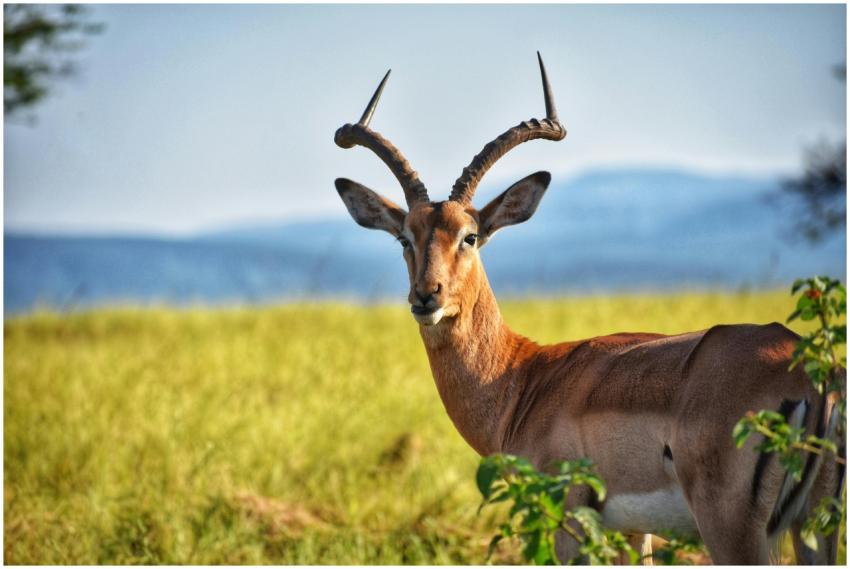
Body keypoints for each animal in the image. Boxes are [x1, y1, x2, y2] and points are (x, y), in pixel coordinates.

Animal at [333, 53, 843, 564]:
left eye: (470, 236)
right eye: (405, 237)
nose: (427, 296)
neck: (523, 378)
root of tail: (811, 375)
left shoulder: (568, 518)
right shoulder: (634, 532)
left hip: (732, 529)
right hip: (814, 528)